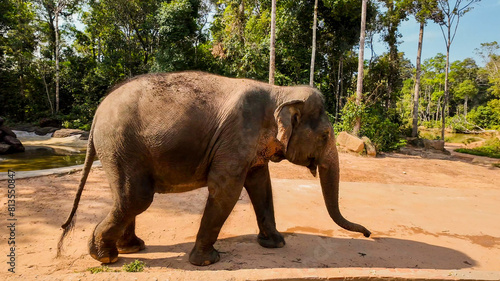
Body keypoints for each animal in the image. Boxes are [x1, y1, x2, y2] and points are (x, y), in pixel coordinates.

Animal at [58, 71, 372, 266]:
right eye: (325, 136)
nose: (369, 234)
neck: (280, 92)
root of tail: (97, 112)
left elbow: (261, 184)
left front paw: (275, 244)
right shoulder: (237, 134)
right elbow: (226, 190)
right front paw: (208, 261)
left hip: (119, 151)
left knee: (126, 198)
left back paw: (131, 248)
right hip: (121, 145)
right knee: (136, 197)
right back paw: (104, 257)